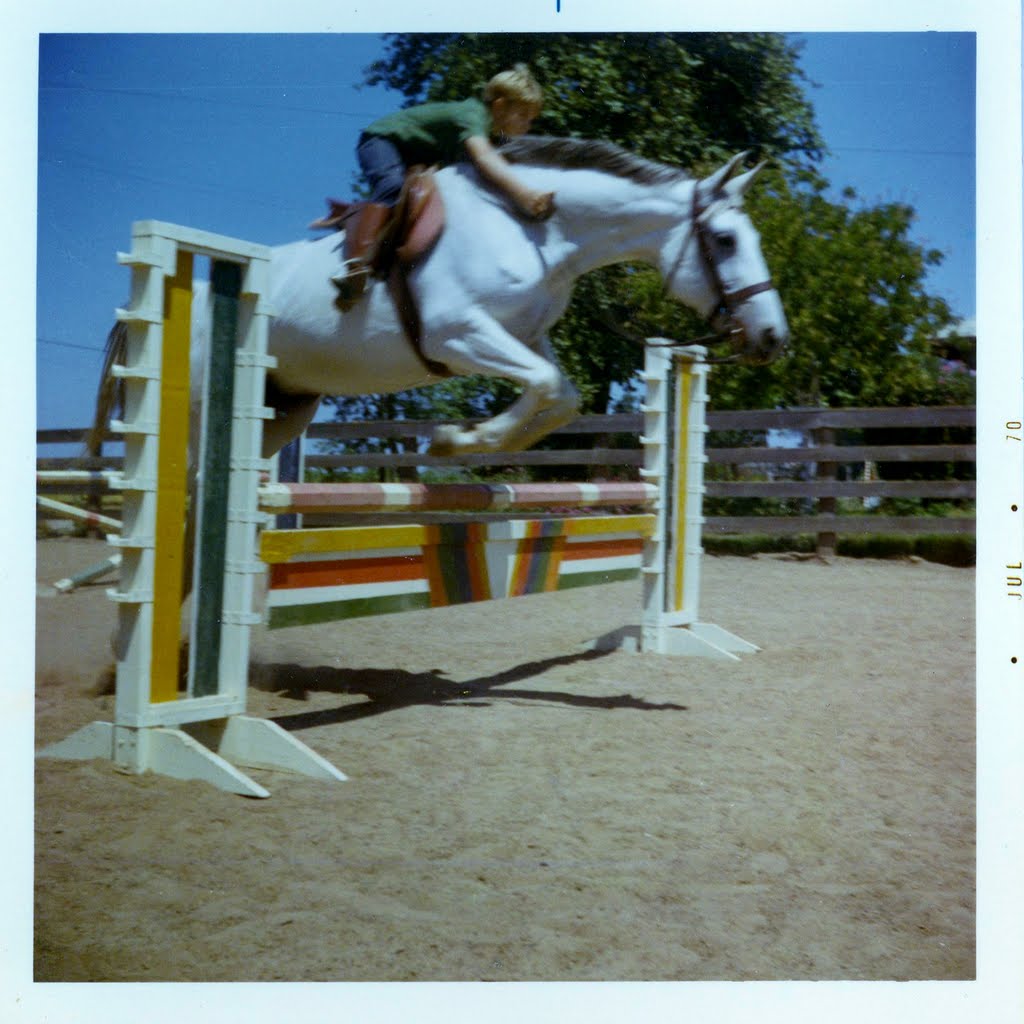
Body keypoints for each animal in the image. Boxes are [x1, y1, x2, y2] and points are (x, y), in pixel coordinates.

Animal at [92, 138, 786, 466]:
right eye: (725, 241)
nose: (773, 337)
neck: (538, 229)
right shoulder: (456, 335)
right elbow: (544, 387)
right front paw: (455, 441)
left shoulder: (525, 339)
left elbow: (561, 394)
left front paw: (469, 442)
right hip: (201, 406)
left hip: (283, 409)